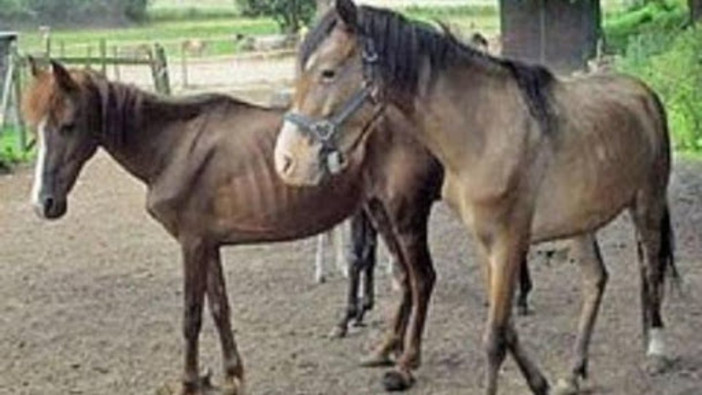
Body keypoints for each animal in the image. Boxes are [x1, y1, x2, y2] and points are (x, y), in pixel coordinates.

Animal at [23, 59, 446, 395]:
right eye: (35, 129)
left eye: (68, 125)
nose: (44, 203)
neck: (174, 148)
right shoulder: (209, 244)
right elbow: (219, 308)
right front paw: (232, 375)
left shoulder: (192, 244)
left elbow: (191, 315)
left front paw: (189, 382)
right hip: (379, 211)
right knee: (405, 278)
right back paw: (383, 351)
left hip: (405, 216)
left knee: (423, 279)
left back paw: (405, 366)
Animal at [274, 1, 680, 394]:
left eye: (328, 72)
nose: (286, 161)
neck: (484, 131)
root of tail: (645, 94)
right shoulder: (485, 242)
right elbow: (506, 327)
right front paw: (539, 381)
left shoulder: (506, 240)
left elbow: (493, 338)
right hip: (581, 224)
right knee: (595, 280)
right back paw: (575, 372)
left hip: (647, 204)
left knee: (652, 269)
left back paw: (656, 350)